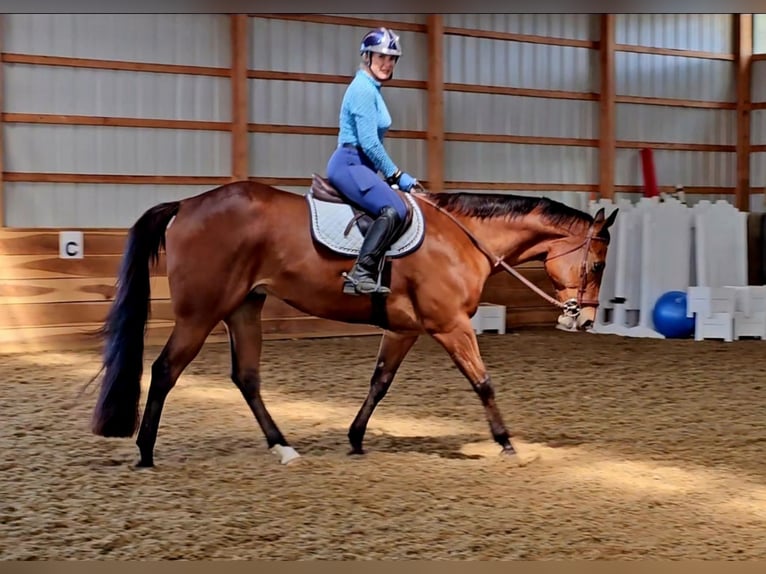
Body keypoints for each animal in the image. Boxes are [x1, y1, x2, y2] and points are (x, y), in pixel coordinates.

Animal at [90, 178, 616, 470]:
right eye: (595, 264)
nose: (585, 320)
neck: (462, 237)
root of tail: (187, 204)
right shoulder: (450, 326)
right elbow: (482, 382)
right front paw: (507, 444)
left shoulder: (405, 330)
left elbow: (379, 383)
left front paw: (356, 439)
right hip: (200, 314)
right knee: (165, 371)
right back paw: (145, 452)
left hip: (243, 308)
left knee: (246, 378)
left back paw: (283, 447)